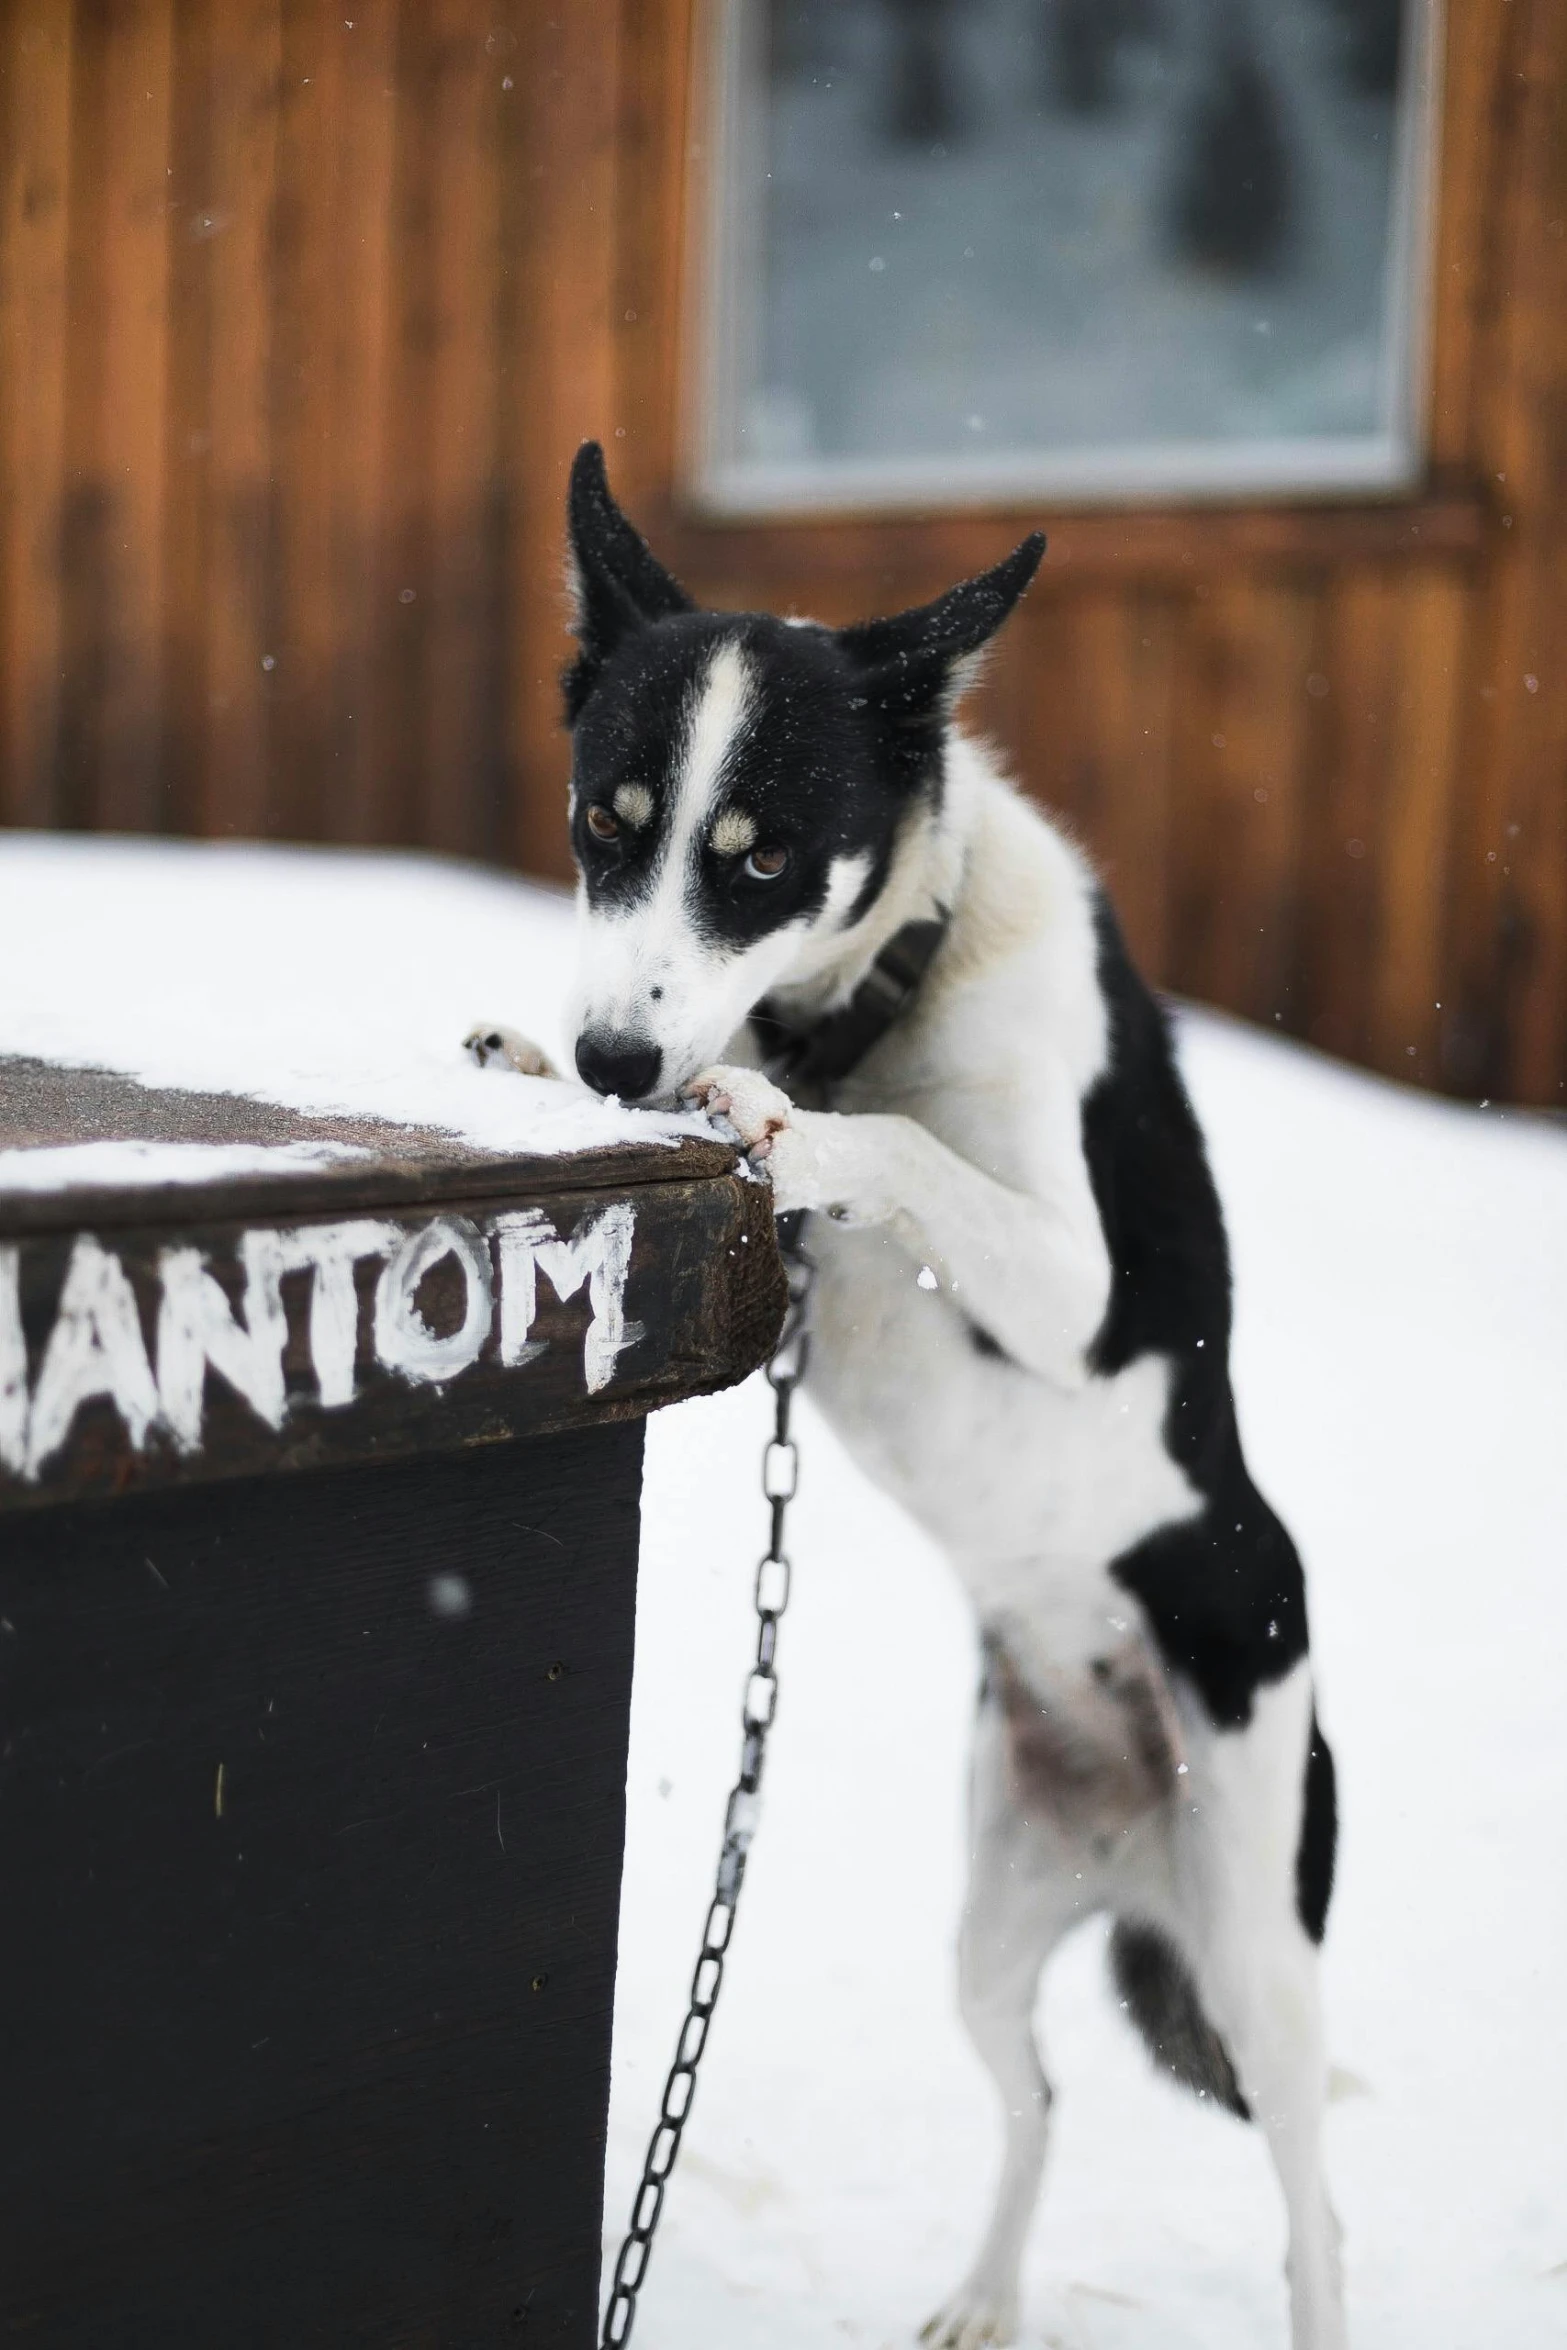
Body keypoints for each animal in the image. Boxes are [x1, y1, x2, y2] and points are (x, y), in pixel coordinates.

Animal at [472, 453, 1343, 2350]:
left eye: (761, 858)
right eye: (603, 824)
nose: (617, 1065)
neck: (863, 1004)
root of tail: (1129, 1837)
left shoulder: (1078, 1290)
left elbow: (903, 1158)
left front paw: (790, 1127)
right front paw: (536, 1054)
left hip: (1258, 1948)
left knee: (1311, 2206)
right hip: (991, 1925)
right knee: (1035, 2098)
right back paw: (984, 2298)